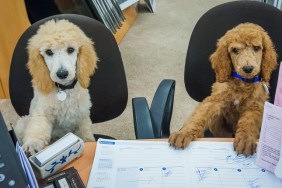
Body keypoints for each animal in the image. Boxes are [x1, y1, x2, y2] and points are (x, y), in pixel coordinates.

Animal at [14, 19, 98, 155]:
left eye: (70, 49)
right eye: (48, 52)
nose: (62, 74)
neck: (63, 89)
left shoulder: (82, 115)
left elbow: (85, 131)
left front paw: (89, 140)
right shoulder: (42, 111)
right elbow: (38, 127)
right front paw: (33, 143)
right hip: (22, 123)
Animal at [169, 23, 276, 156]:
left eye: (256, 48)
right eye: (235, 50)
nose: (248, 69)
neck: (242, 82)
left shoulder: (255, 106)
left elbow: (249, 122)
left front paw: (245, 140)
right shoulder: (215, 99)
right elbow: (200, 115)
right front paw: (184, 133)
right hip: (216, 122)